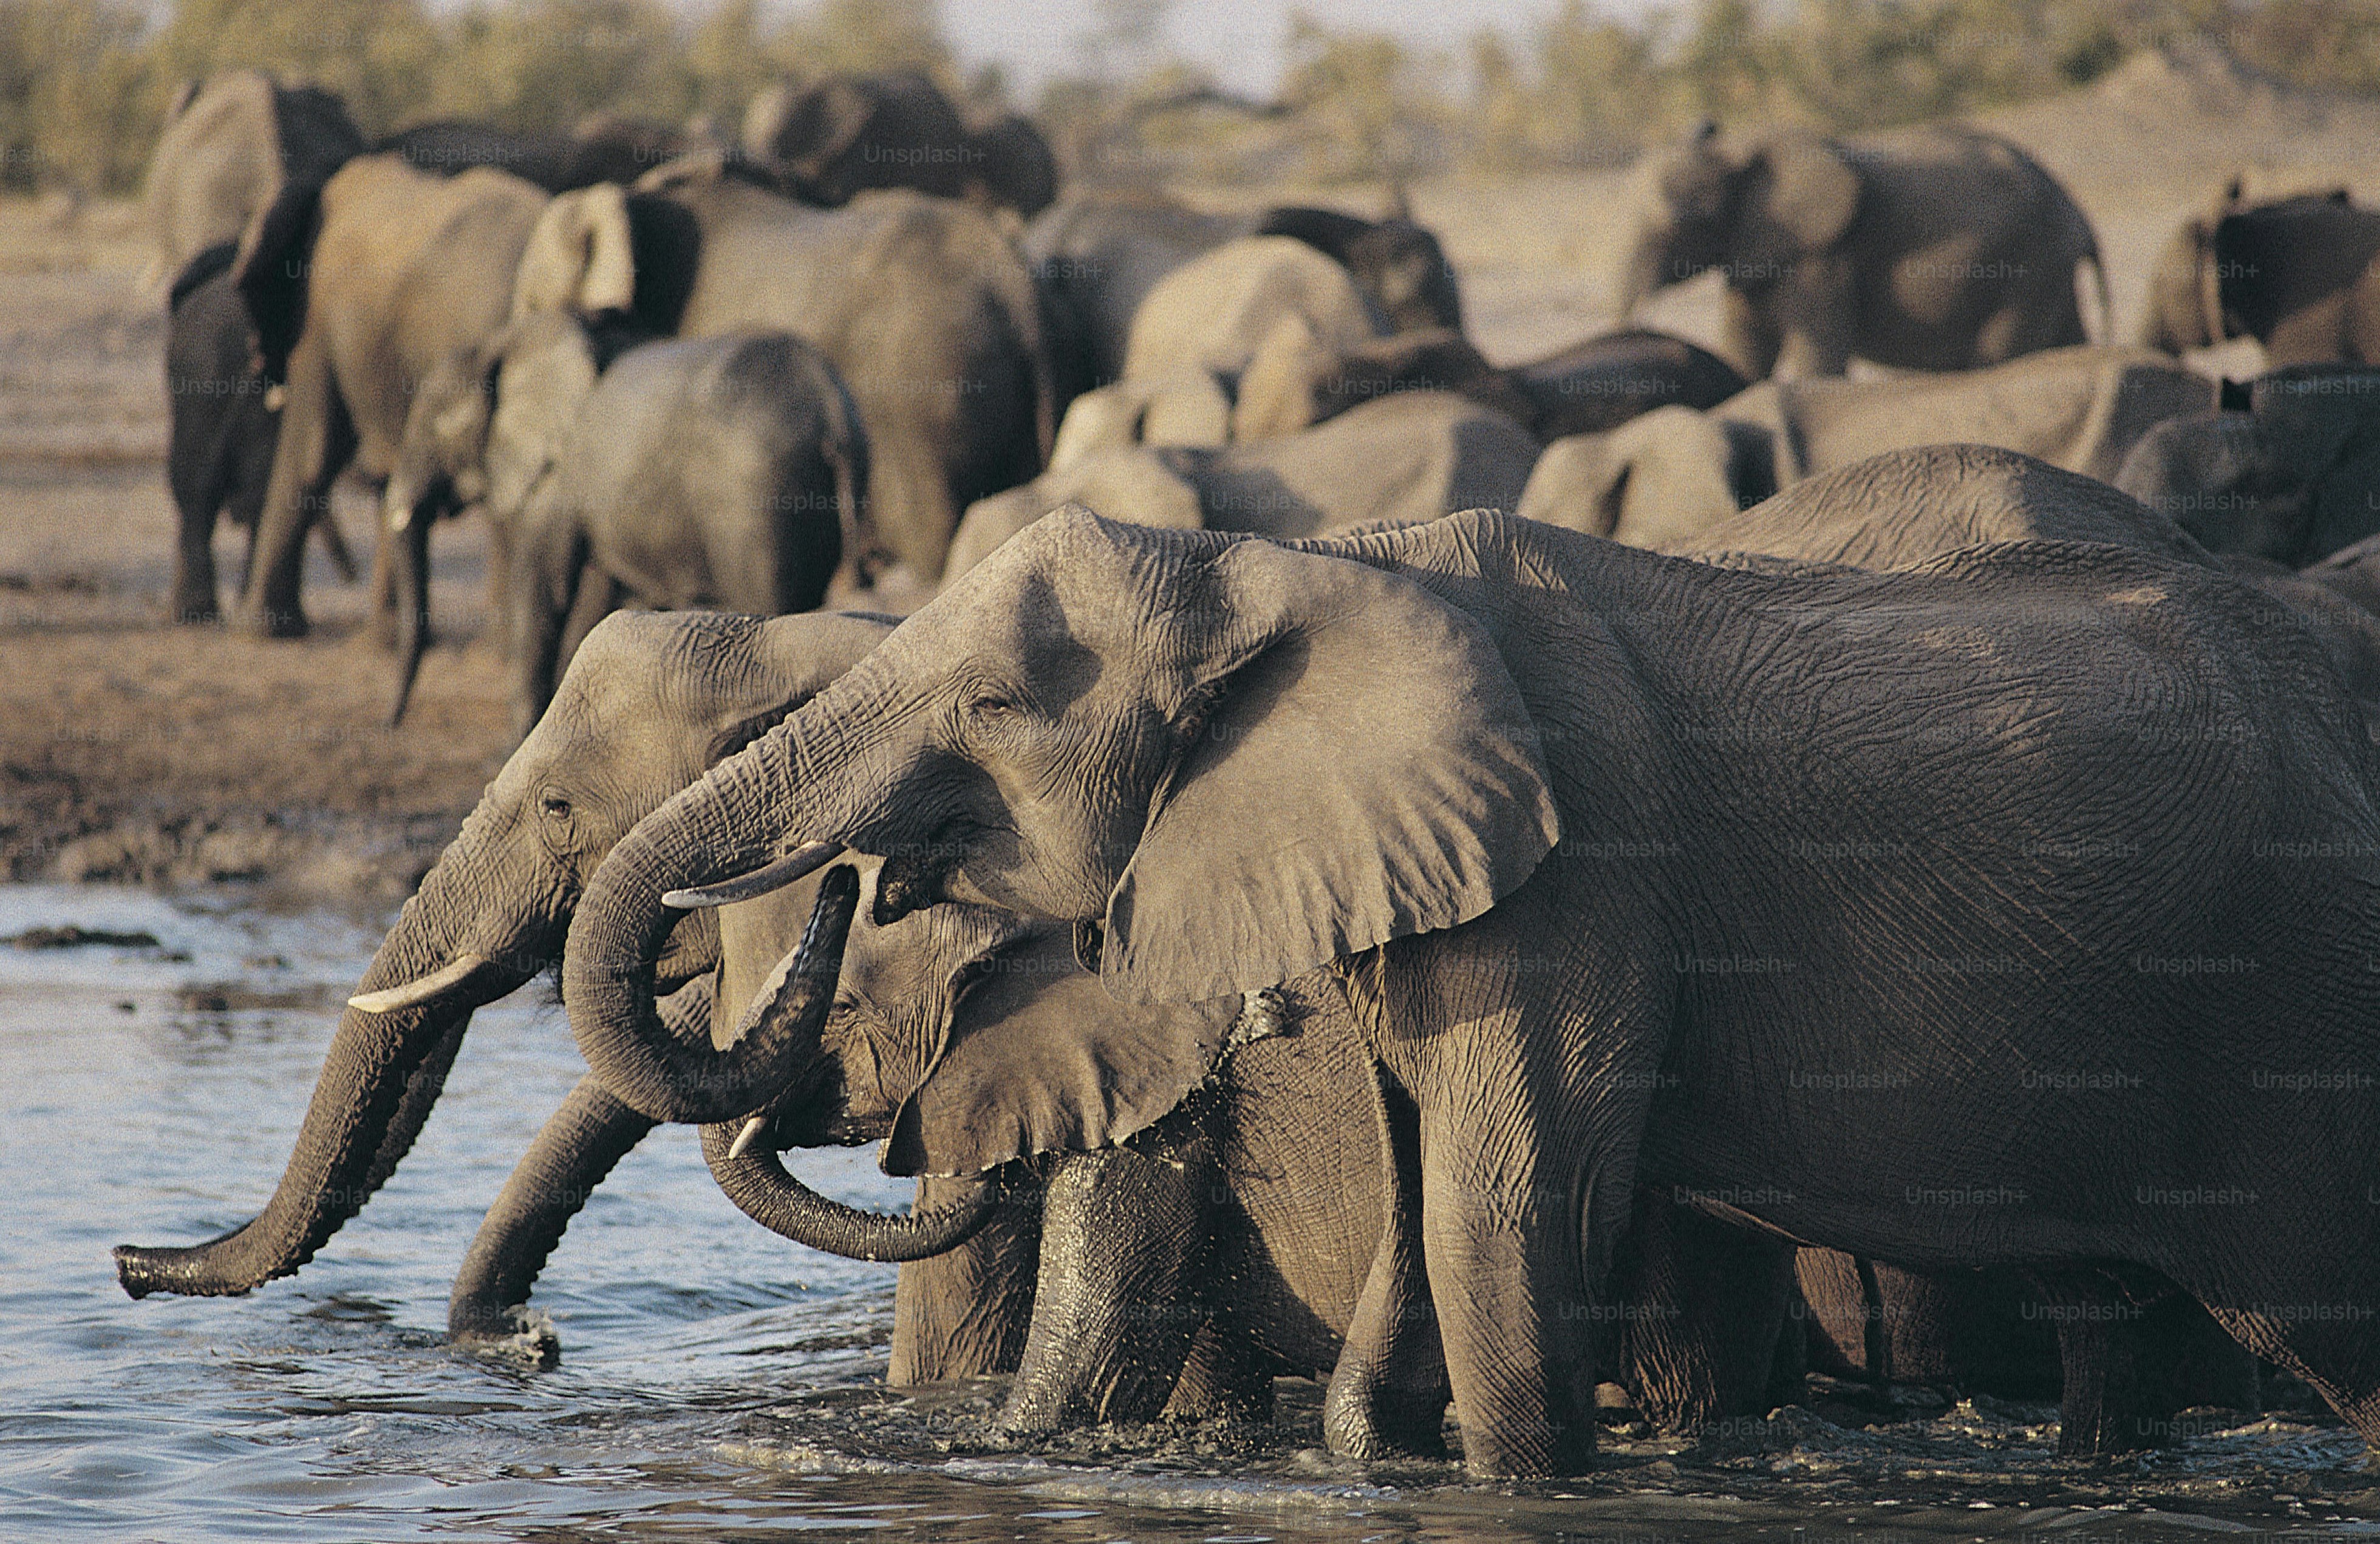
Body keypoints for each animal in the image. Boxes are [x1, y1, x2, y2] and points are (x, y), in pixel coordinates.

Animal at [383, 313, 867, 734]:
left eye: (434, 424)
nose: (391, 723)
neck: (508, 340)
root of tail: (828, 402)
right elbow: (597, 598)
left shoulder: (559, 474)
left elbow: (545, 588)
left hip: (754, 498)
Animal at [565, 501, 2380, 1478]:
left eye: (997, 703)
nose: (853, 876)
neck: (1290, 561)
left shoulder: (1582, 869)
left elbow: (1498, 1206)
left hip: (2295, 1010)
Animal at [1617, 120, 2104, 380]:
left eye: (1681, 225)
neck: (1736, 149)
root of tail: (2078, 213)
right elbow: (1744, 356)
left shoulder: (1823, 259)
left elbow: (1818, 358)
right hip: (2048, 270)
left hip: (2027, 266)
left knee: (2000, 353)